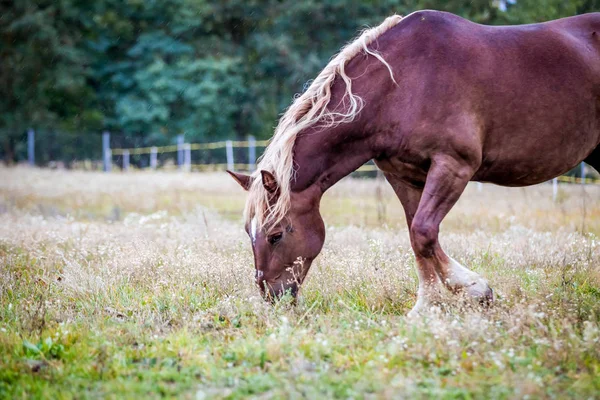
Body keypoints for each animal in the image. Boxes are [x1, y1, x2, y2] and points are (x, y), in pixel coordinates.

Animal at [226, 10, 600, 316]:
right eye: (248, 232)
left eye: (276, 235)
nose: (272, 297)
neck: (403, 84)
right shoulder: (403, 175)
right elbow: (417, 237)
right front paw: (426, 306)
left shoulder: (453, 166)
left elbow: (423, 231)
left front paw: (476, 290)